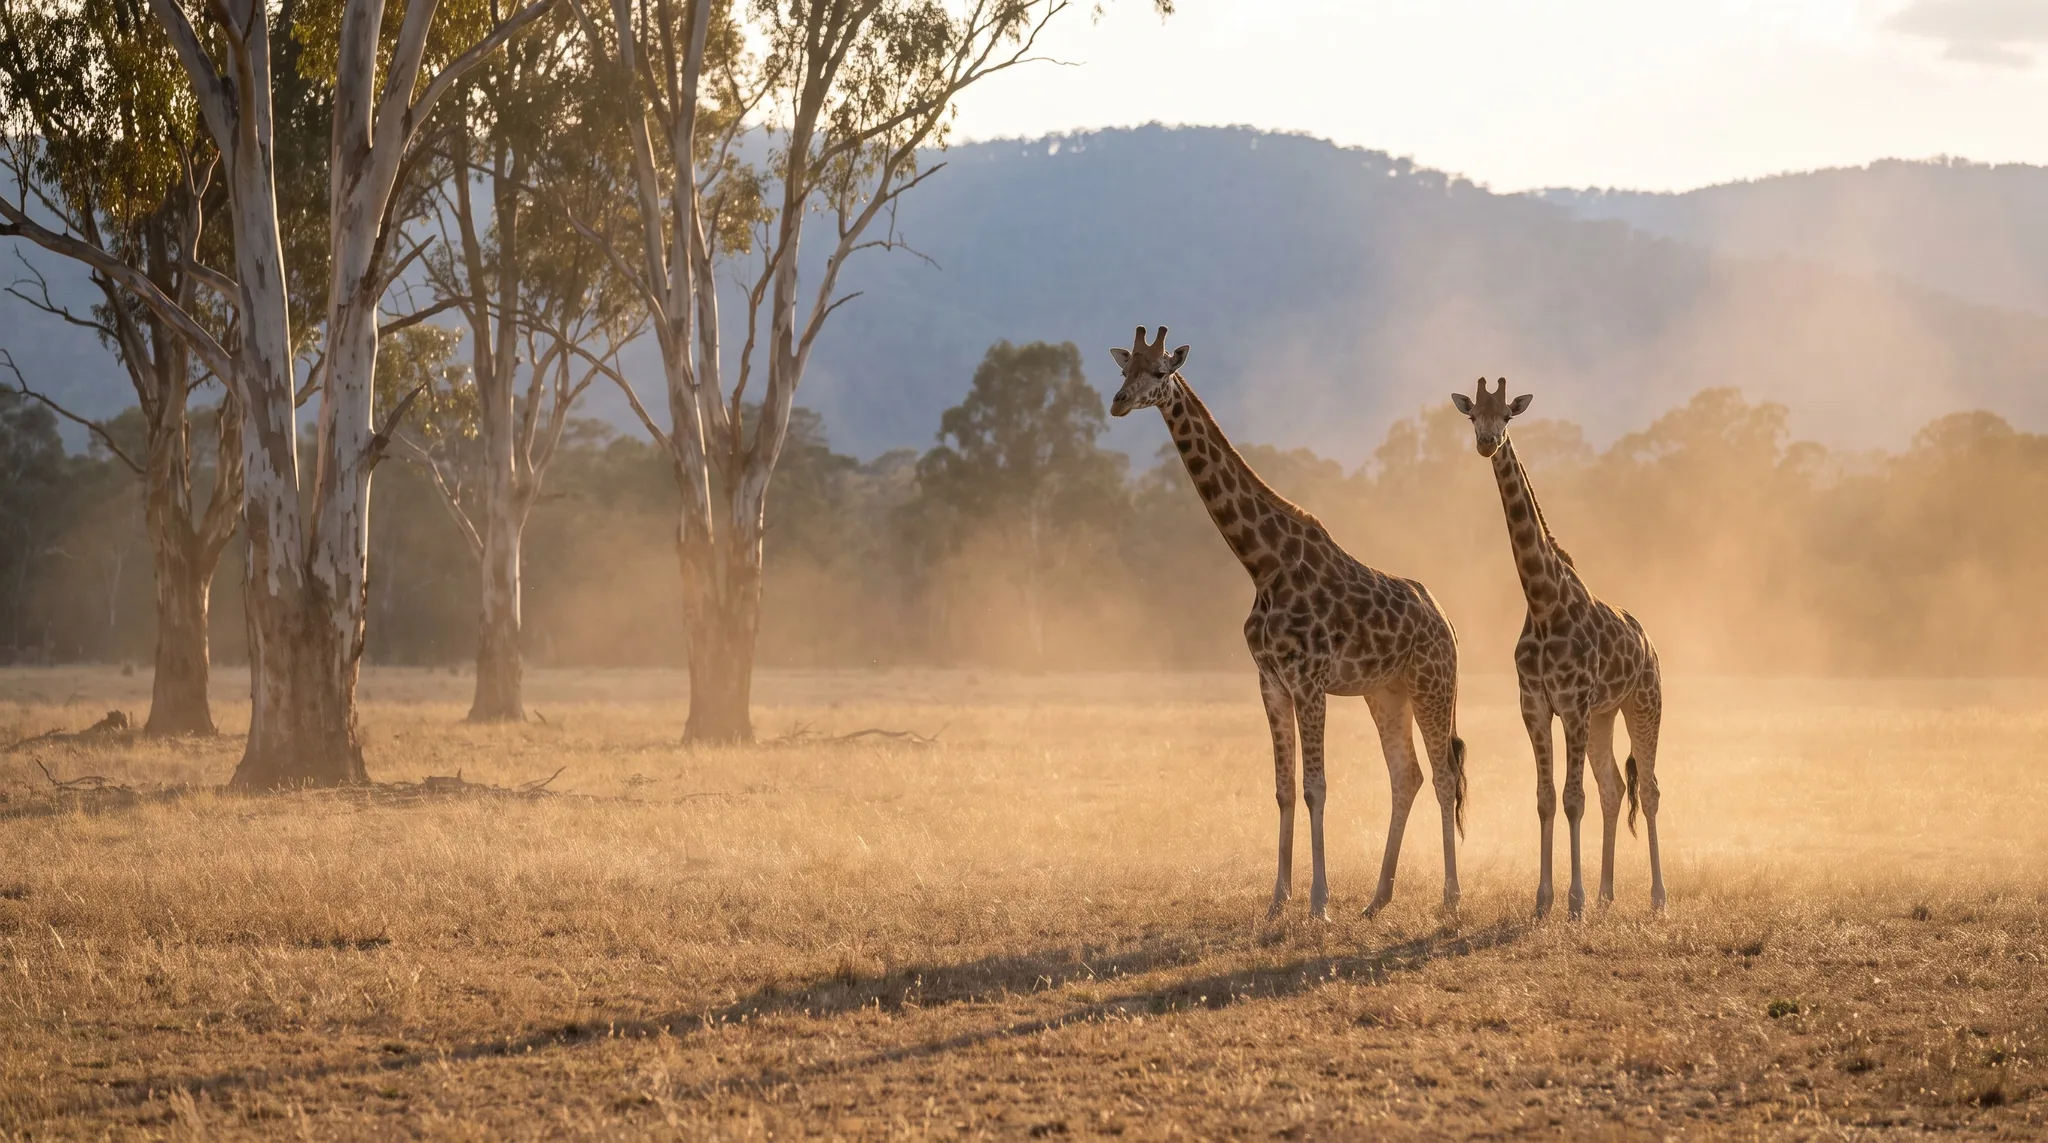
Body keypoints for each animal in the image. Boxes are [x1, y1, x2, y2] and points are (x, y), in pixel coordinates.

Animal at [1110, 326, 1467, 920]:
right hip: (1385, 692)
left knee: (1443, 776)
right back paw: (1377, 899)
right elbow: (1282, 787)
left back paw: (1450, 898)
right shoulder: (1270, 681)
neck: (1262, 562)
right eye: (1123, 368)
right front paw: (1279, 899)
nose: (1116, 403)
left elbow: (1315, 786)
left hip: (1432, 686)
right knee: (1407, 775)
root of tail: (1449, 623)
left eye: (1159, 371)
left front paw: (1319, 902)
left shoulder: (1310, 681)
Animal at [1451, 378, 1666, 919]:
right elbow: (1547, 797)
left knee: (1650, 790)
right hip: (1605, 714)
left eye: (1507, 415)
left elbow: (1573, 798)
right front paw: (1544, 900)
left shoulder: (1572, 703)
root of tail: (1650, 644)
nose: (1487, 442)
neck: (1543, 601)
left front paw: (1574, 902)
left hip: (1644, 703)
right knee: (1614, 788)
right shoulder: (1534, 704)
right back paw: (1609, 895)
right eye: (1472, 416)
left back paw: (1657, 899)